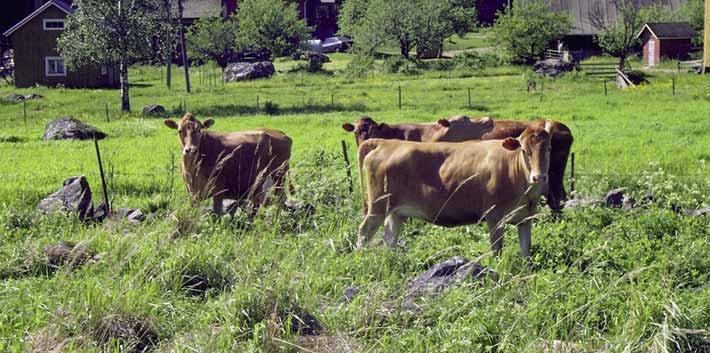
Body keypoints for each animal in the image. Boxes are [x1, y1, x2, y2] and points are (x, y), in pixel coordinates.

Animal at [165, 114, 294, 216]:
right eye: (180, 131)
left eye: (200, 130)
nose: (190, 150)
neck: (193, 168)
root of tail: (280, 133)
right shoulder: (191, 193)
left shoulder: (218, 190)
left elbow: (217, 214)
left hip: (278, 176)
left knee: (280, 199)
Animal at [358, 121, 552, 256]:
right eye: (524, 151)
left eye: (549, 149)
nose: (538, 177)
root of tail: (385, 143)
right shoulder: (494, 216)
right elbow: (497, 250)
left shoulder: (526, 219)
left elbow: (526, 250)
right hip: (378, 207)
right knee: (364, 231)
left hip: (396, 212)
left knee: (390, 237)